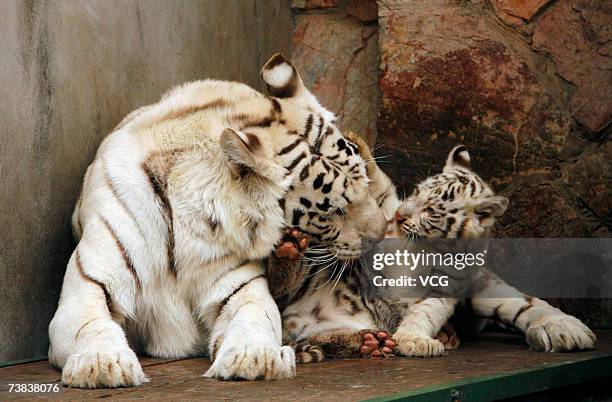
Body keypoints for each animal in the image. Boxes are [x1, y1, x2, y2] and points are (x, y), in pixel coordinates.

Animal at [51, 53, 388, 386]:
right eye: (334, 212)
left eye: (365, 180)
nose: (383, 234)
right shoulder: (90, 285)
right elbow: (90, 324)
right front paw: (101, 362)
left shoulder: (238, 286)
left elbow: (255, 316)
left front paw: (256, 357)